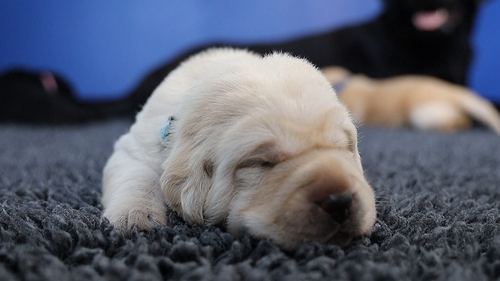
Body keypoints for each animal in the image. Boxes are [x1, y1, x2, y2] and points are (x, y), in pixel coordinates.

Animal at [100, 48, 376, 249]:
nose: (340, 201)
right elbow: (137, 176)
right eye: (262, 163)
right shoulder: (137, 146)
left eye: (343, 148)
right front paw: (135, 216)